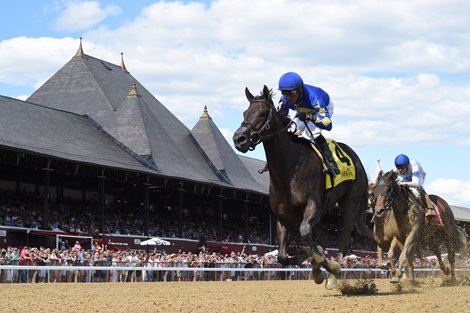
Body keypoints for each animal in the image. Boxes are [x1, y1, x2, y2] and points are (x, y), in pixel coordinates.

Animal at [233, 84, 372, 288]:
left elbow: (305, 233)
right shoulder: (284, 219)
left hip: (350, 203)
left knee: (345, 237)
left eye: (262, 113)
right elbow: (283, 256)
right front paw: (313, 262)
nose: (239, 138)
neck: (289, 169)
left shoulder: (313, 207)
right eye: (244, 112)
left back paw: (334, 272)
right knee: (324, 238)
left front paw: (322, 264)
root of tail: (358, 160)